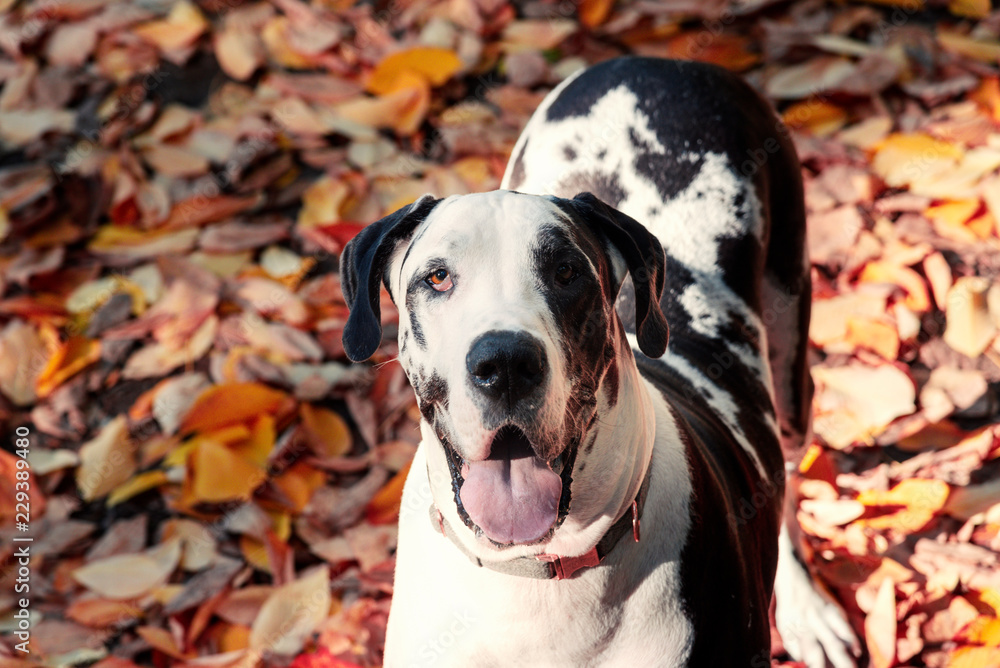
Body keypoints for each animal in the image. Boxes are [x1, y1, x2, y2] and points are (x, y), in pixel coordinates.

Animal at [340, 57, 856, 668]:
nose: (505, 364)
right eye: (437, 277)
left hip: (790, 344)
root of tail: (655, 63)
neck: (538, 579)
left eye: (567, 272)